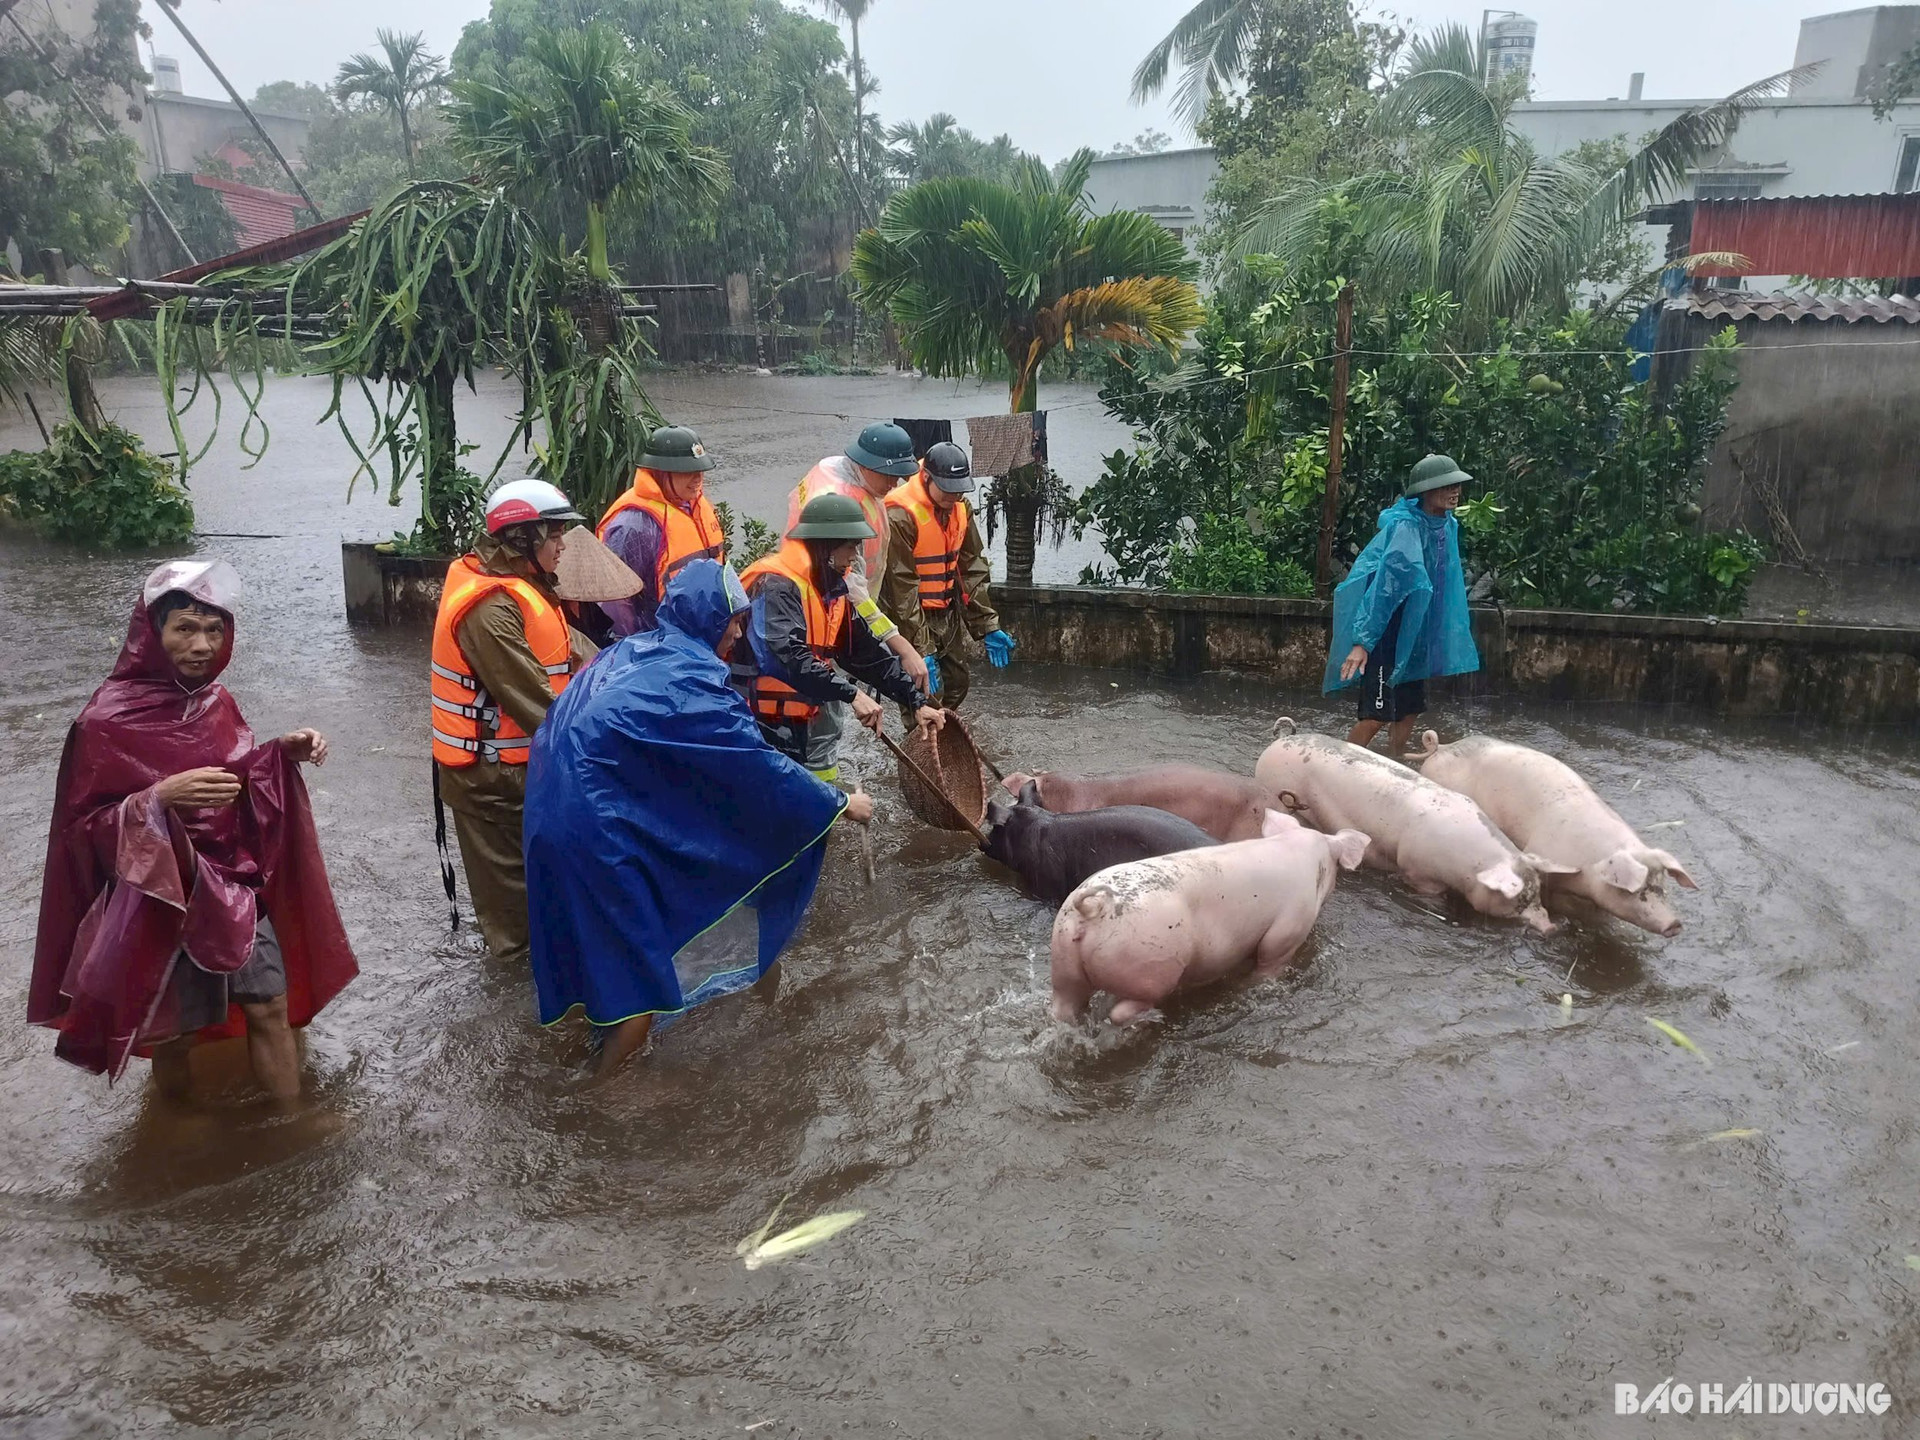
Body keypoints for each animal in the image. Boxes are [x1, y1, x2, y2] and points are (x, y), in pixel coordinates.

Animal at [1044, 814, 1374, 1029]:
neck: (1303, 853)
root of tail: (1092, 908)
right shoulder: (1288, 929)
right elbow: (1268, 962)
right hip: (1149, 964)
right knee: (1123, 1010)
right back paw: (1154, 1018)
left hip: (1063, 957)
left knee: (1063, 1007)